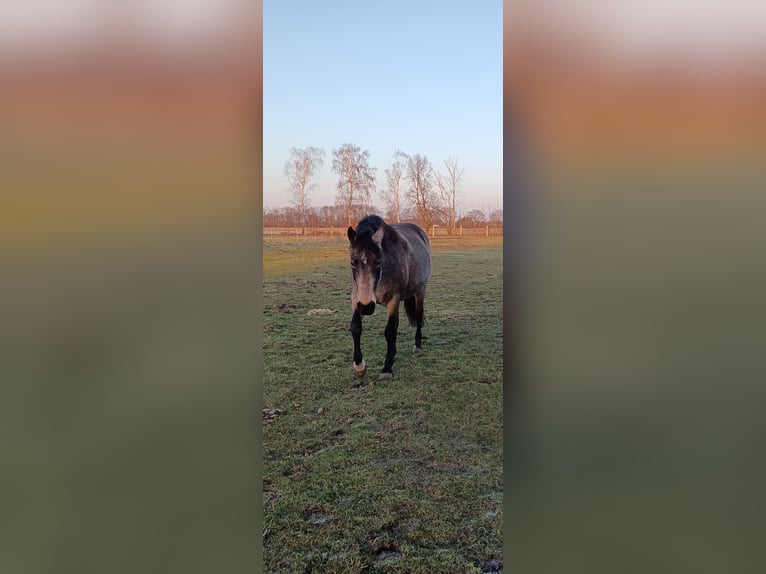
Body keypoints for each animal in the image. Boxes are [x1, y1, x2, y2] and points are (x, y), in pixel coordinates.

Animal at [348, 214, 432, 380]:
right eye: (353, 263)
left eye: (378, 262)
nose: (367, 307)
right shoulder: (357, 297)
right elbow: (355, 327)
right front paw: (359, 366)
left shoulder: (393, 299)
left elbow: (390, 331)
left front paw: (386, 368)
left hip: (420, 291)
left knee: (419, 315)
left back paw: (417, 346)